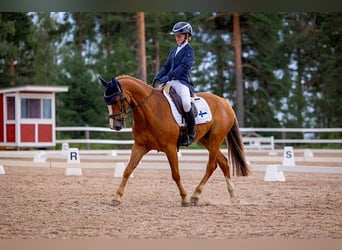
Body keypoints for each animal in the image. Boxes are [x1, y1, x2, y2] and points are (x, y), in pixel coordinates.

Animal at [100, 75, 250, 206]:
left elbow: (176, 174)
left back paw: (195, 195)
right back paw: (233, 196)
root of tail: (224, 102)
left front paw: (184, 198)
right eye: (106, 101)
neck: (150, 110)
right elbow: (128, 170)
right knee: (223, 162)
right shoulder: (140, 146)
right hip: (206, 140)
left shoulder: (170, 147)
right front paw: (116, 197)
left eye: (117, 99)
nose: (115, 126)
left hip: (215, 138)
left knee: (211, 166)